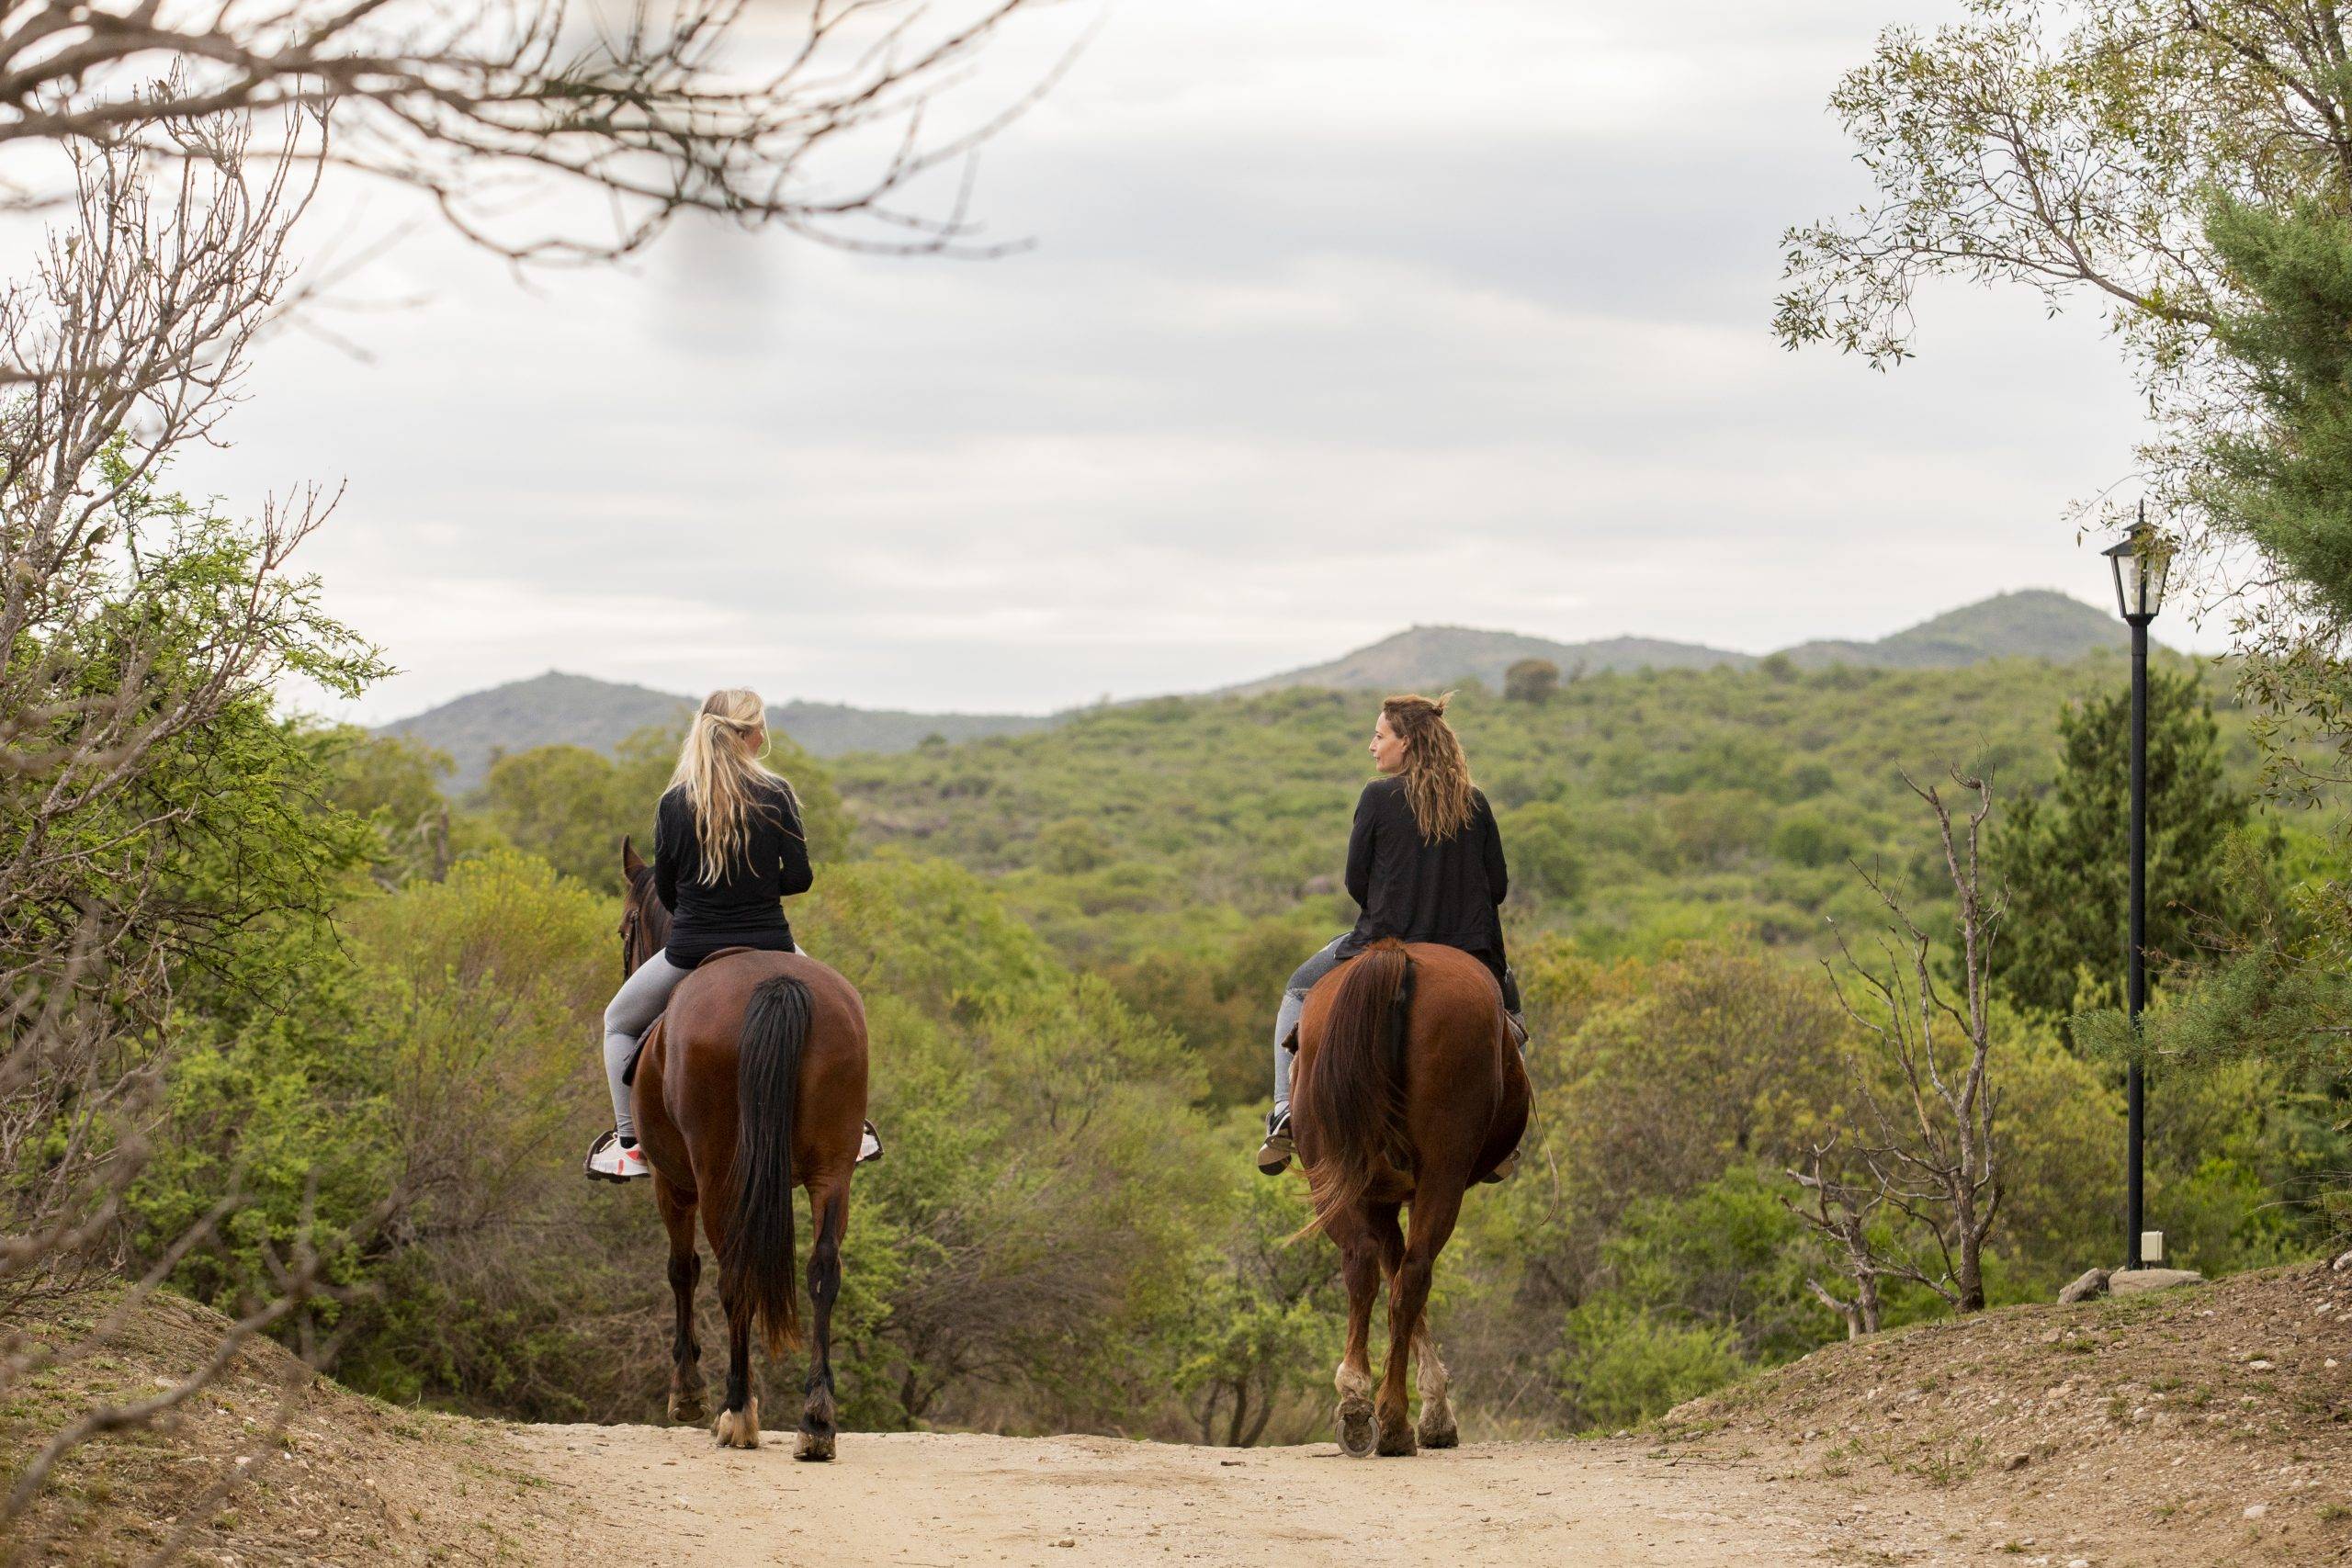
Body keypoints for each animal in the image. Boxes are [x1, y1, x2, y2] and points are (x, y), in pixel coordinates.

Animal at [616, 846, 865, 1457]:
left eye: (624, 929)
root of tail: (775, 983)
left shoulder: (673, 1184)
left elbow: (682, 1269)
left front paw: (688, 1393)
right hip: (832, 1171)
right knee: (823, 1269)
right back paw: (816, 1420)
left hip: (717, 1173)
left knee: (733, 1275)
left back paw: (736, 1409)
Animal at [1288, 931, 1523, 1457]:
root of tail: (1397, 956)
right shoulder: (1400, 1194)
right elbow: (1401, 1276)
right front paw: (1436, 1410)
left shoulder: (1382, 1197)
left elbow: (1389, 1271)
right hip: (1439, 1175)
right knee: (1410, 1276)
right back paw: (1392, 1419)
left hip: (1338, 1174)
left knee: (1366, 1266)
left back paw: (1365, 1409)